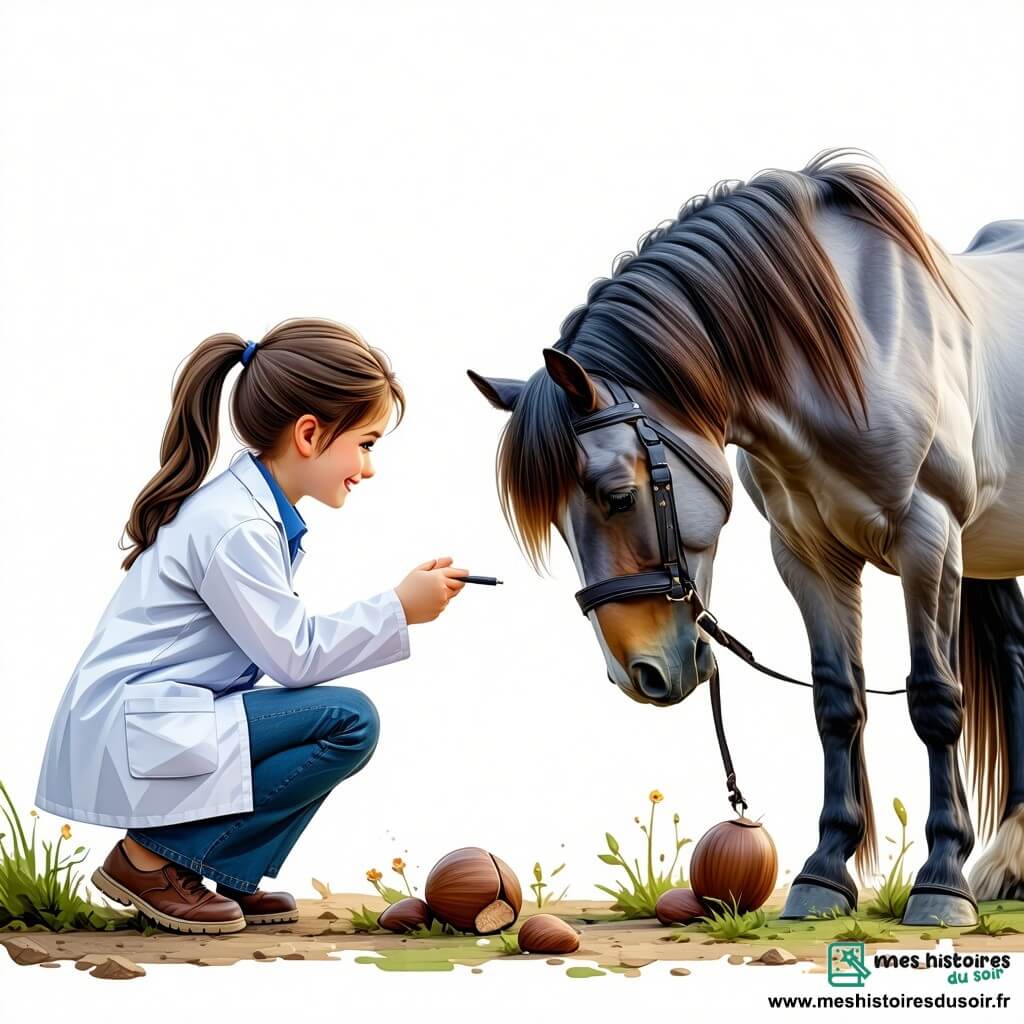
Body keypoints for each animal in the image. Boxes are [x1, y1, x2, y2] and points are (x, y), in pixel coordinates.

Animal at [467, 147, 1024, 927]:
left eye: (617, 495)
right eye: (558, 527)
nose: (636, 675)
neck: (855, 351)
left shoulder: (930, 540)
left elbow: (935, 702)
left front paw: (942, 880)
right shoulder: (807, 555)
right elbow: (836, 704)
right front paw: (824, 873)